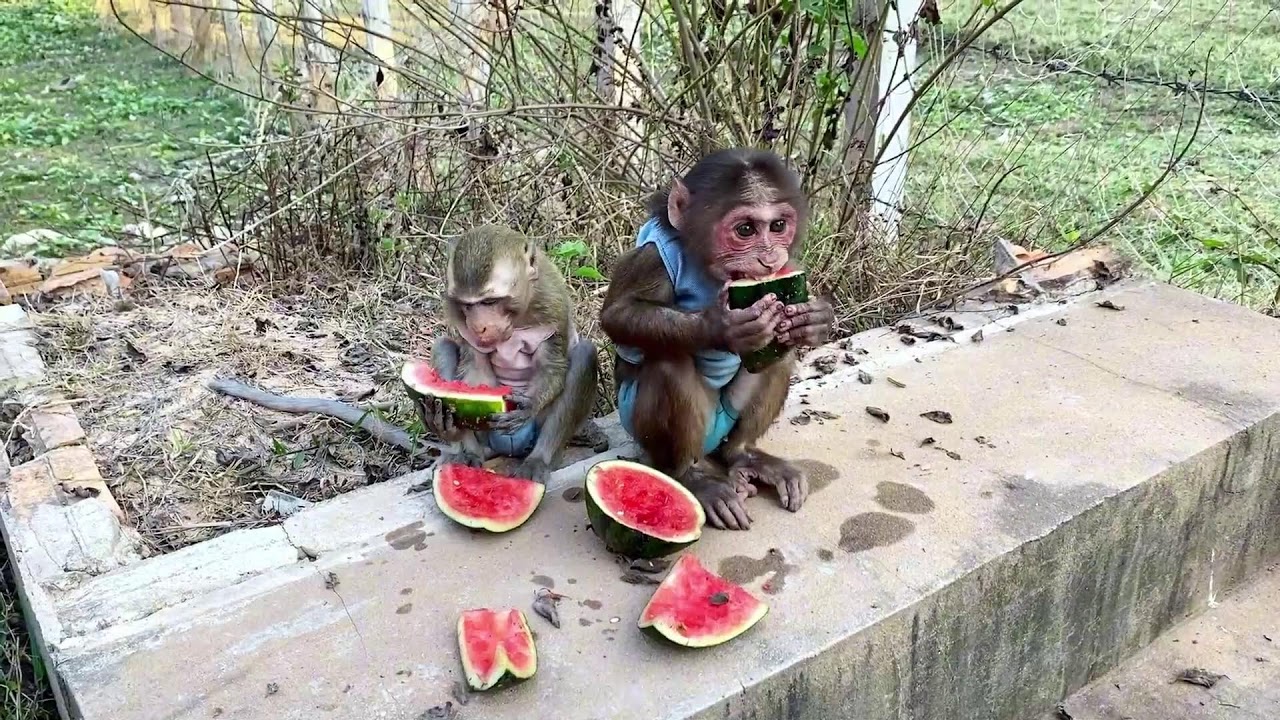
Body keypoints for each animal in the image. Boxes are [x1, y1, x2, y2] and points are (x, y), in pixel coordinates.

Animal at [417, 225, 600, 484]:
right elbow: (475, 372)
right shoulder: (457, 315)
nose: (479, 326)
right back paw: (461, 446)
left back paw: (539, 458)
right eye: (468, 305)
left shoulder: (553, 302)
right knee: (443, 346)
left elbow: (552, 365)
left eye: (490, 301)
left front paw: (528, 406)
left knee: (585, 354)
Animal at [599, 148, 835, 531]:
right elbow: (619, 314)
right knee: (668, 362)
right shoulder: (652, 257)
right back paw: (690, 477)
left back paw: (743, 456)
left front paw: (816, 319)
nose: (769, 258)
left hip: (727, 424)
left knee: (780, 355)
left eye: (778, 227)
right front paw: (721, 327)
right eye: (745, 229)